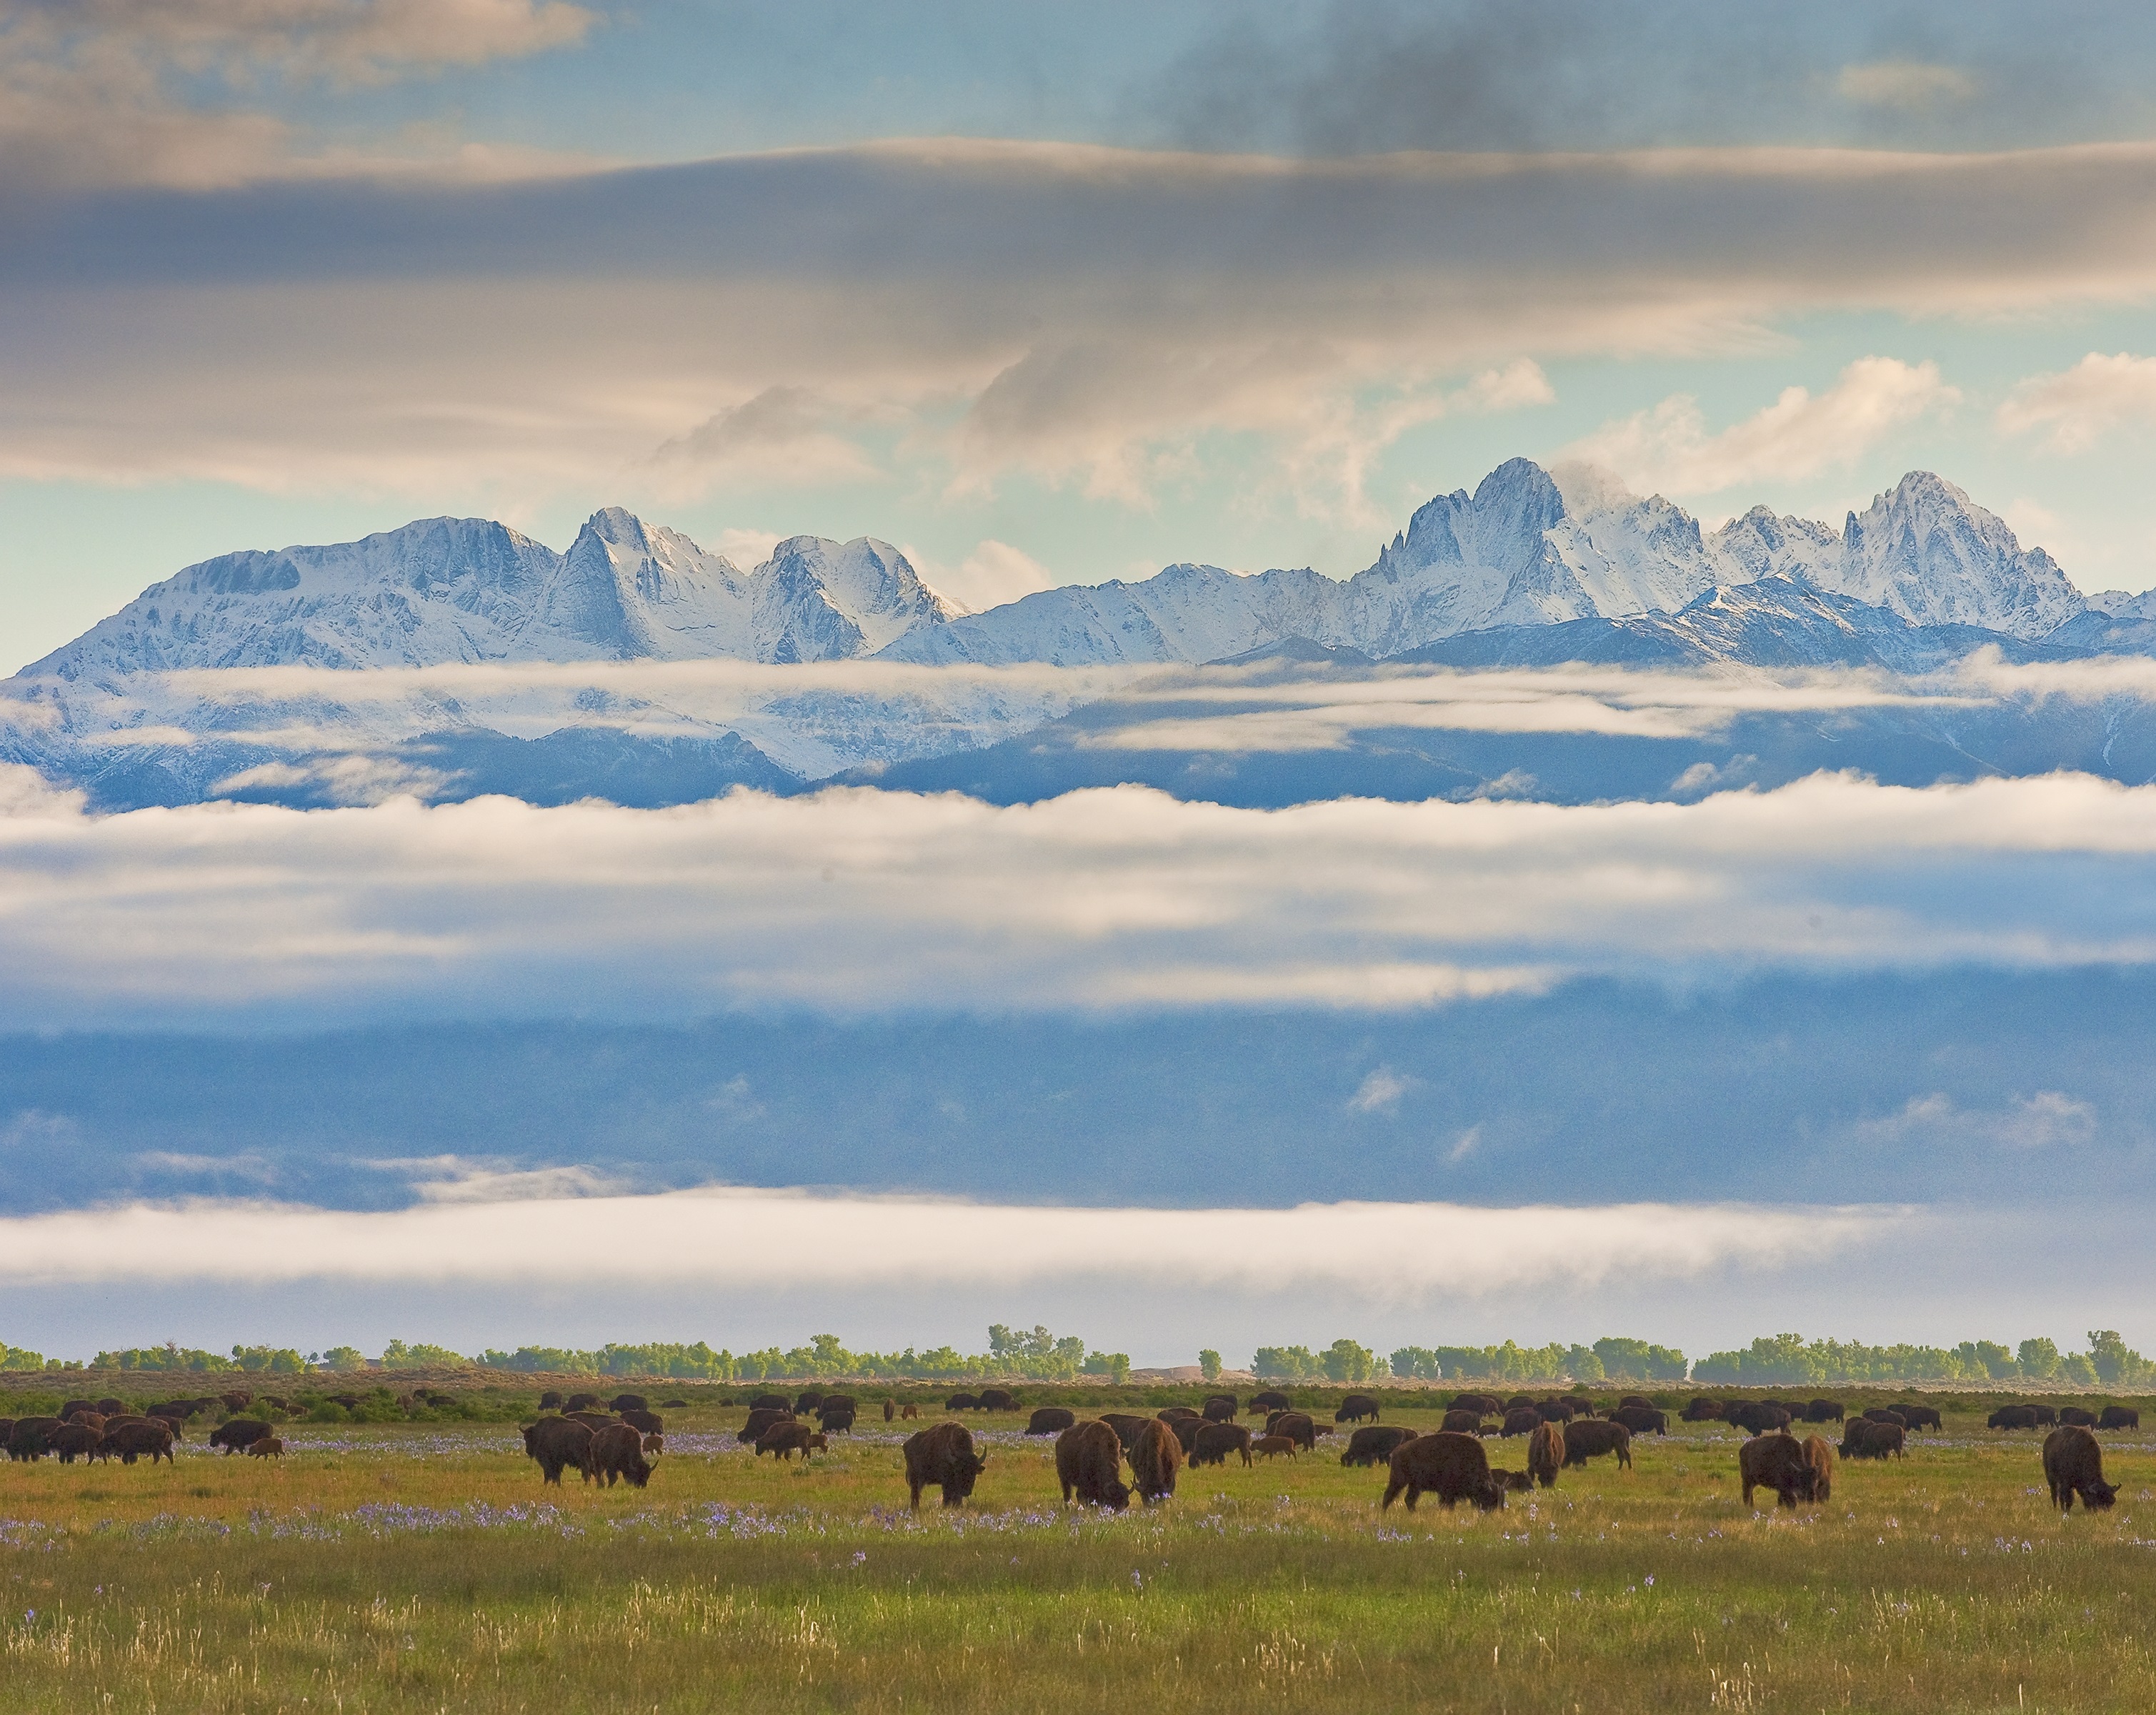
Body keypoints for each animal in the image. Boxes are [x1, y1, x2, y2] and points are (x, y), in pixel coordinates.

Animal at [1056, 1423, 1138, 1518]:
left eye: (1127, 1503)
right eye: (1112, 1502)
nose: (1119, 1514)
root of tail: (1060, 1440)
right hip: (1064, 1478)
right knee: (1067, 1493)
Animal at [1379, 1432, 1500, 1510]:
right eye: (1487, 1496)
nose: (1487, 1511)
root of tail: (1396, 1452)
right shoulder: (1447, 1491)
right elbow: (1448, 1503)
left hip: (1414, 1485)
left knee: (1409, 1499)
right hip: (1399, 1480)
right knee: (1389, 1495)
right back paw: (1384, 1512)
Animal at [2035, 1423, 2121, 1518]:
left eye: (2113, 1501)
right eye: (2098, 1499)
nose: (2105, 1514)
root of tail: (2048, 1439)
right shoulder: (2067, 1483)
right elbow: (2069, 1499)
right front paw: (2066, 1512)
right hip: (2051, 1477)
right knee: (2055, 1493)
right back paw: (2056, 1508)